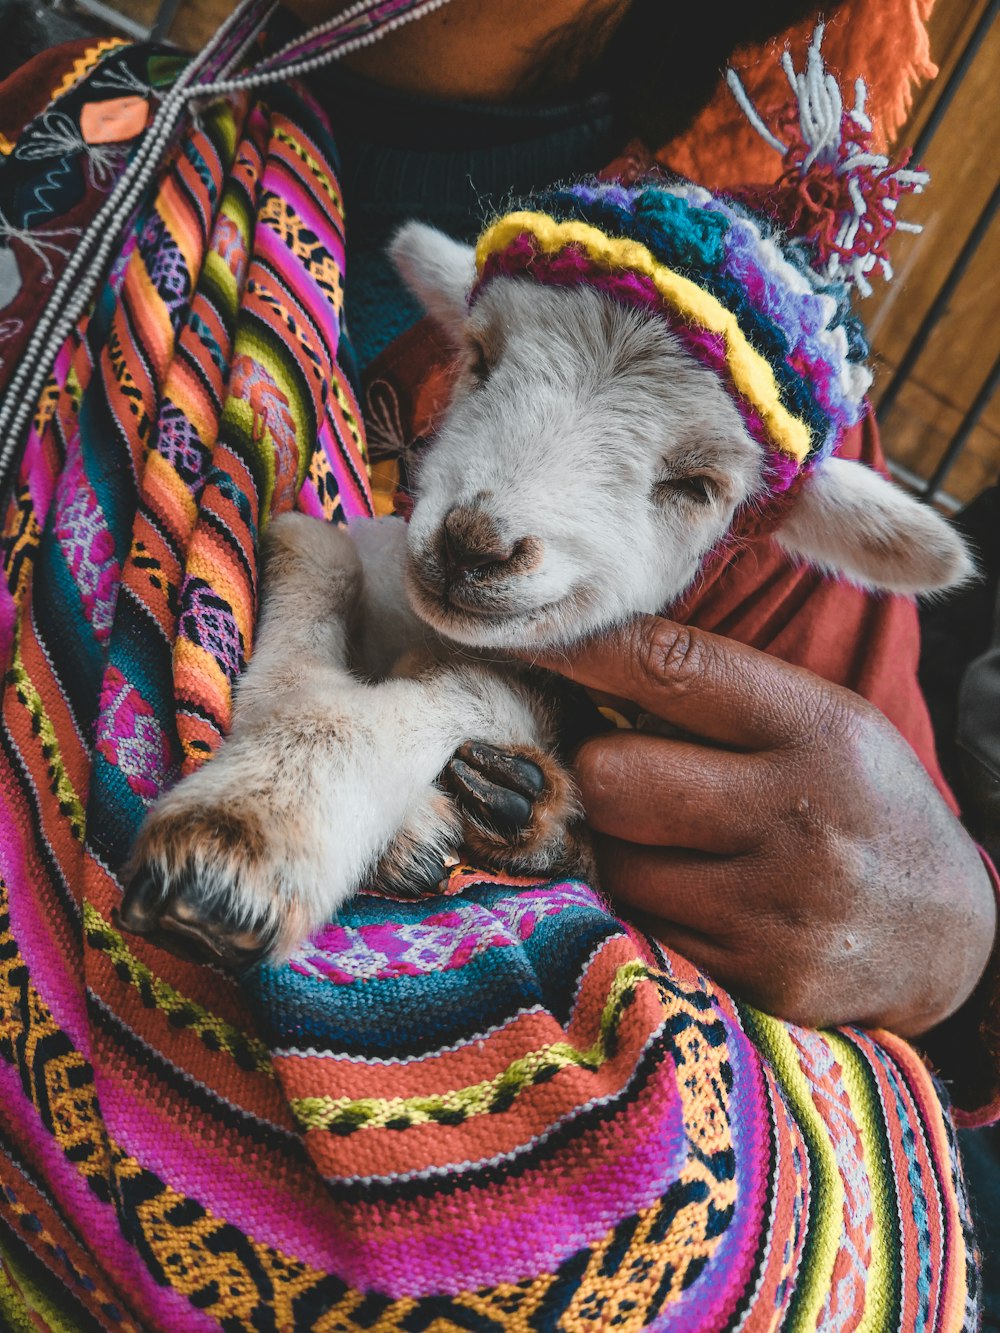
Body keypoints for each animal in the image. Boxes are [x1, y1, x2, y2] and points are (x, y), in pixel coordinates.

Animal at [115, 218, 970, 970]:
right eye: (480, 357)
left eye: (697, 485)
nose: (472, 545)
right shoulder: (361, 551)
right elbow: (313, 546)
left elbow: (439, 694)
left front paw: (245, 849)